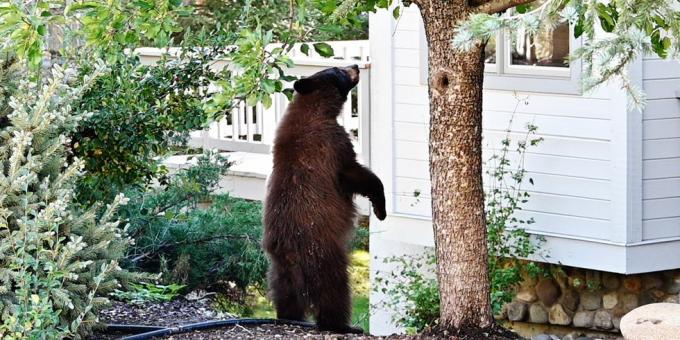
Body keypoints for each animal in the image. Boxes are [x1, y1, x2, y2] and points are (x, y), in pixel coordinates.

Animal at [262, 65, 386, 334]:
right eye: (337, 69)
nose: (355, 65)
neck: (315, 109)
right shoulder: (332, 144)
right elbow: (355, 174)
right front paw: (380, 208)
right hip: (324, 256)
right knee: (334, 292)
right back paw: (343, 325)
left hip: (278, 269)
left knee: (284, 294)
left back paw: (289, 317)